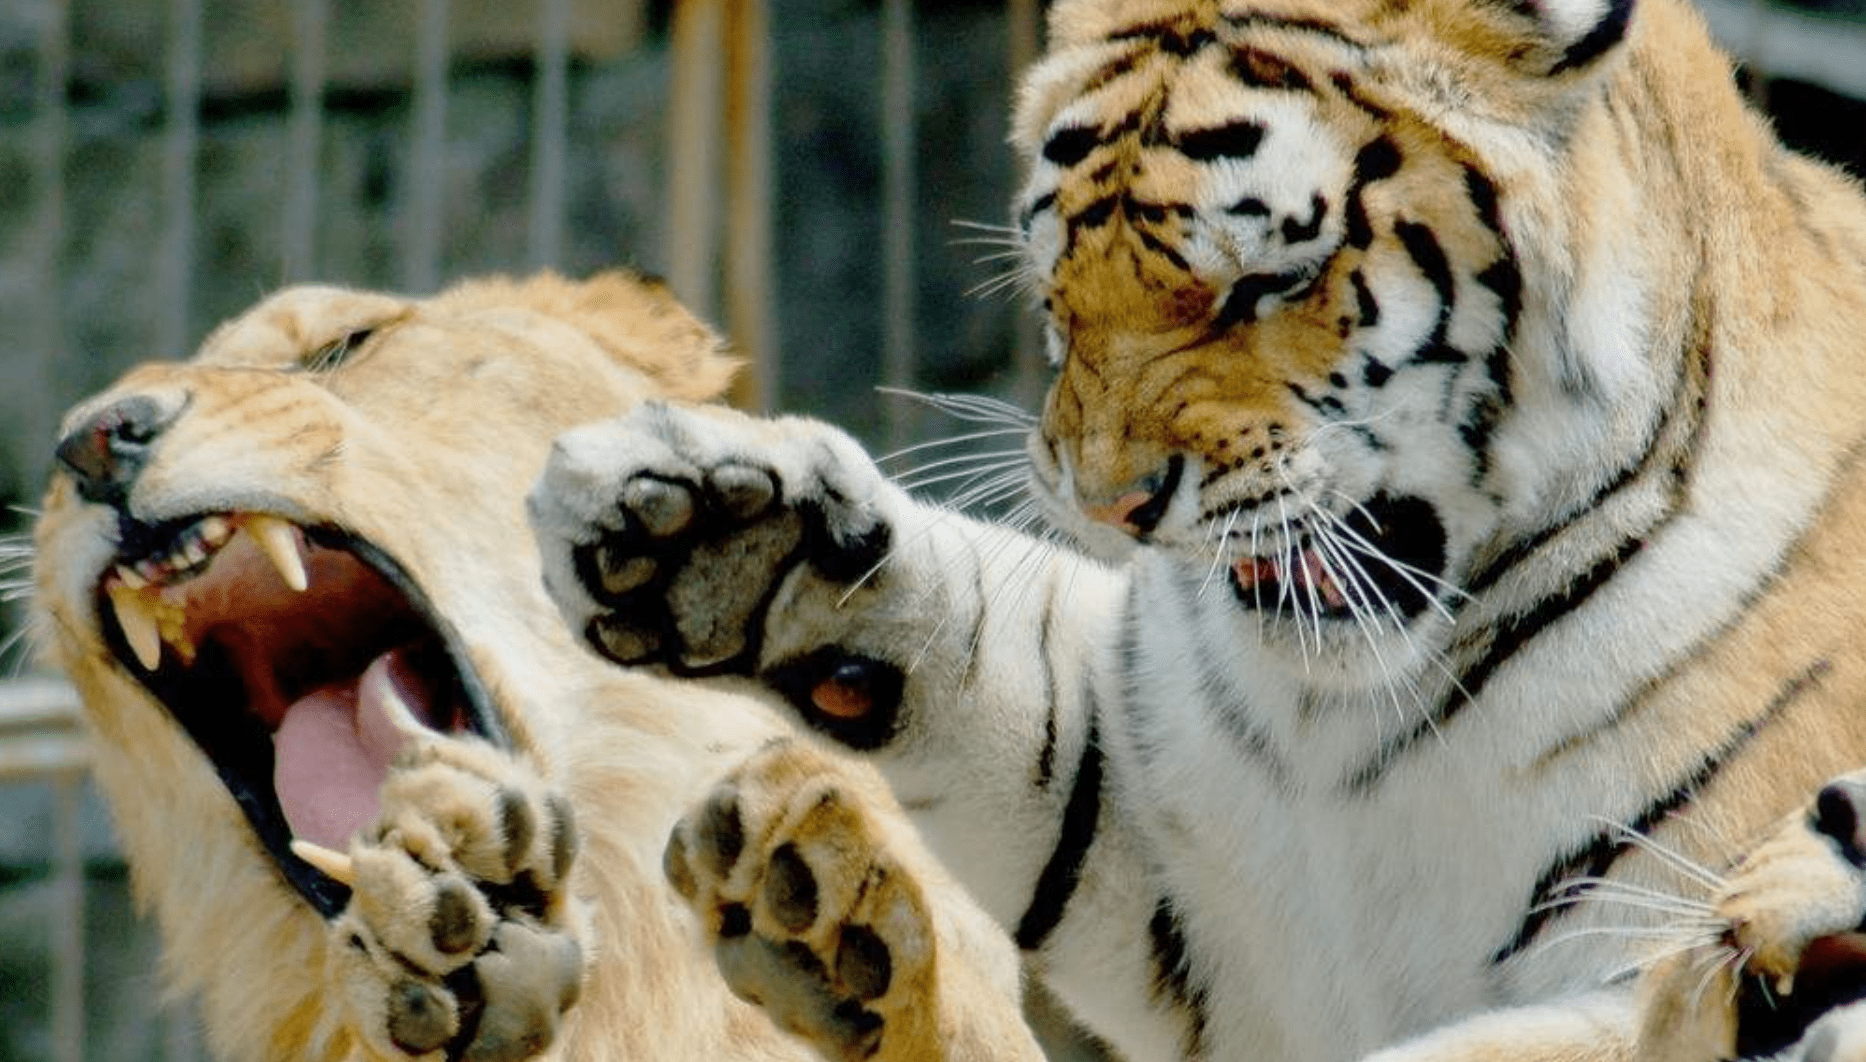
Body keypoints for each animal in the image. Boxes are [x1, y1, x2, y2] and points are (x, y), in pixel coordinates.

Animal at [526, 0, 1866, 1052]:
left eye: (1269, 282)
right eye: (1058, 285)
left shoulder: (1657, 931)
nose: (1109, 504)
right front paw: (713, 538)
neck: (1360, 726)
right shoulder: (1196, 871)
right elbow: (1016, 682)